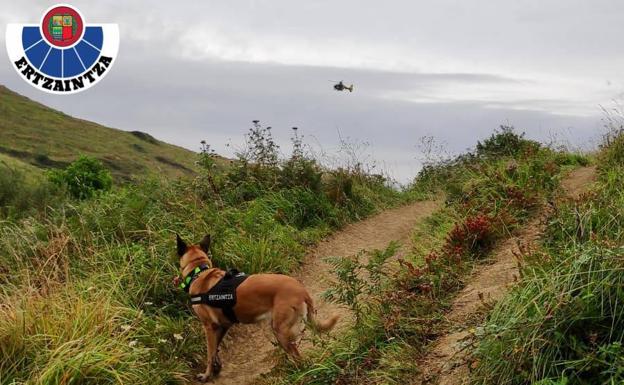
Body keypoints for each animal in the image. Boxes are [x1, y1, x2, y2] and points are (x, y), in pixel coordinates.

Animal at [176, 232, 338, 380]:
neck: (199, 271)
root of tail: (302, 291)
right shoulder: (223, 325)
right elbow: (216, 349)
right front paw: (217, 367)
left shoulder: (209, 326)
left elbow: (210, 353)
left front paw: (206, 375)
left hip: (281, 331)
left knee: (299, 359)